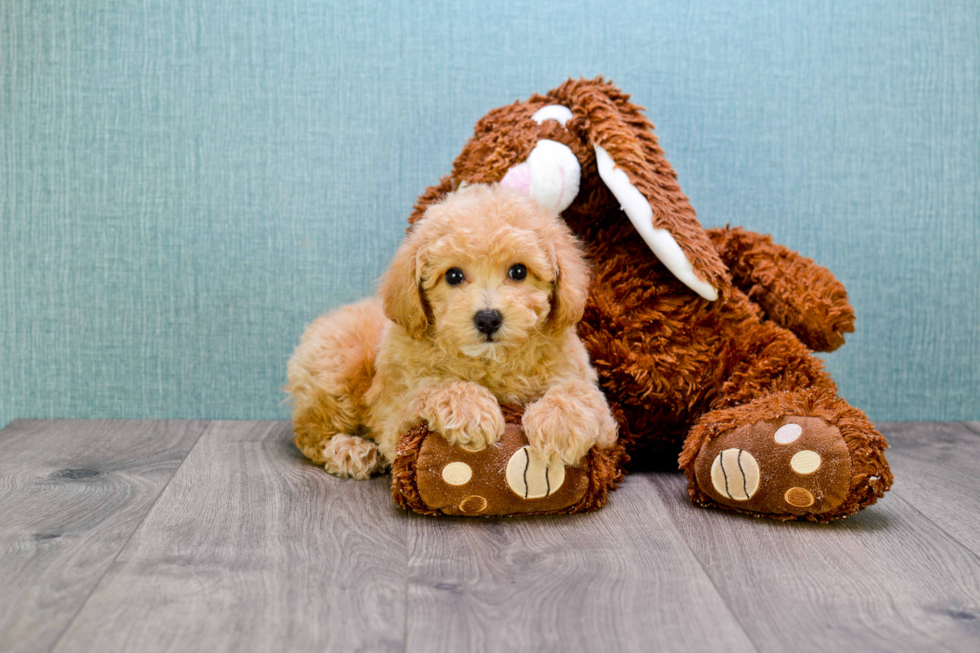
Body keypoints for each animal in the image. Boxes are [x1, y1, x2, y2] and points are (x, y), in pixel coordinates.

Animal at [288, 183, 616, 478]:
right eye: (454, 276)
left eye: (519, 272)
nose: (488, 319)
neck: (491, 361)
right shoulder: (393, 418)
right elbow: (430, 387)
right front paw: (470, 409)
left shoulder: (592, 399)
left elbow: (579, 392)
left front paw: (561, 425)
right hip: (339, 370)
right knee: (308, 431)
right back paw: (350, 451)